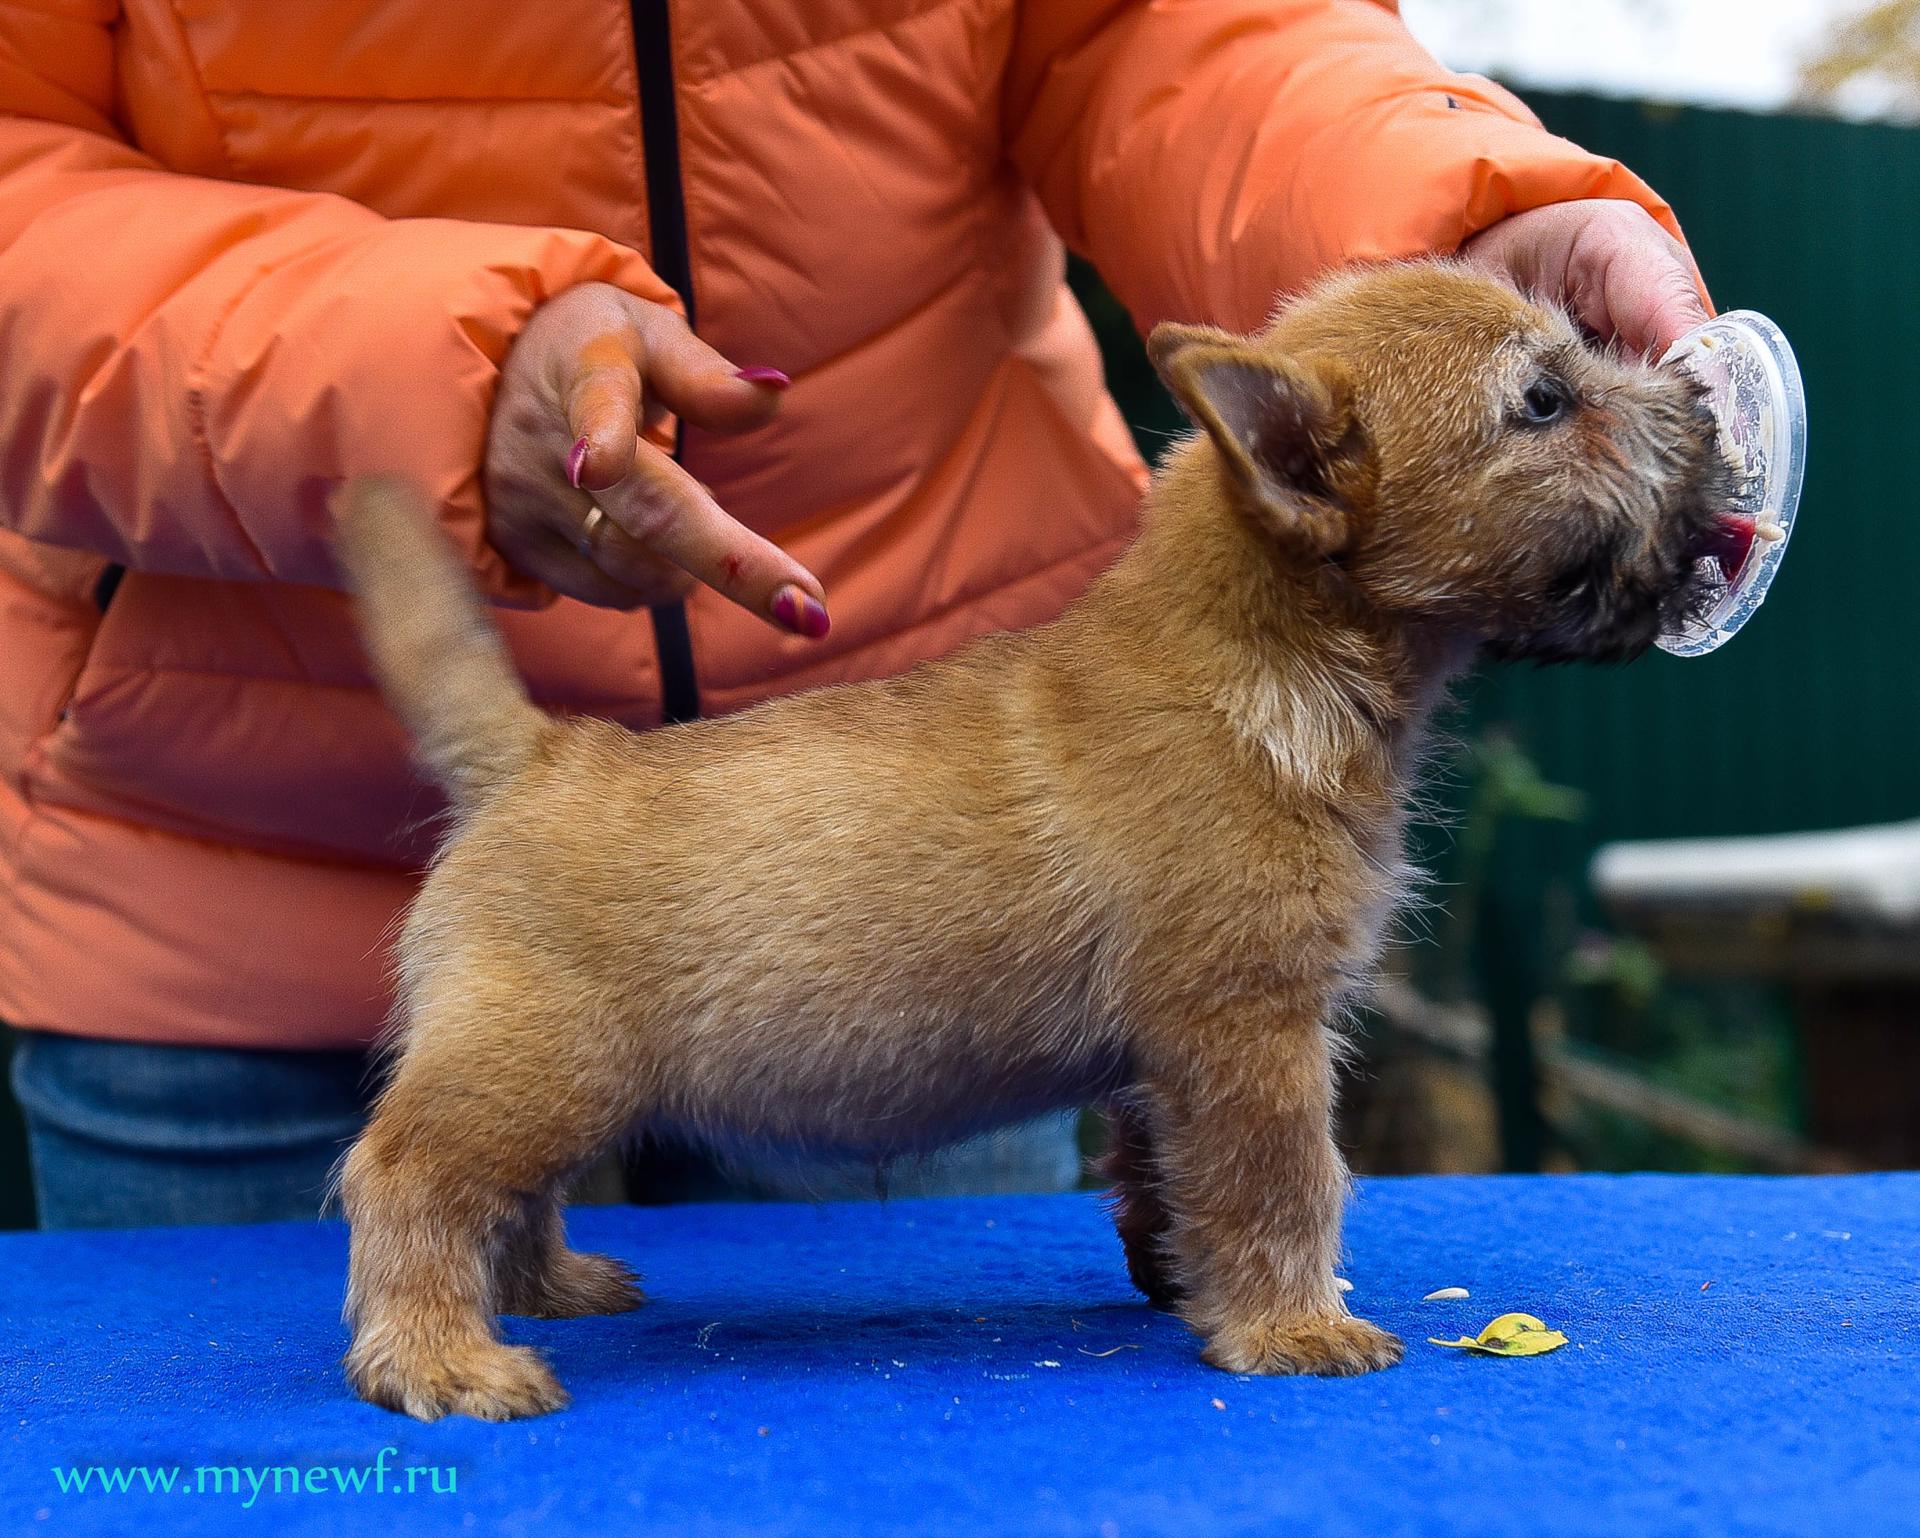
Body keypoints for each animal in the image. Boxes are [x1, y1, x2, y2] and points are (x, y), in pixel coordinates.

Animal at [337, 261, 1735, 1413]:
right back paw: (440, 1355)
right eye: (1544, 400)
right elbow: (1288, 1178)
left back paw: (543, 1288)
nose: (1706, 410)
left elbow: (1173, 1174)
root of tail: (541, 752)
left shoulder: (1175, 1061)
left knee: (504, 1195)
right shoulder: (1251, 1028)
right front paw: (1293, 1326)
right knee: (402, 1176)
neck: (1256, 660)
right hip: (531, 1069)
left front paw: (1187, 1280)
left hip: (546, 1083)